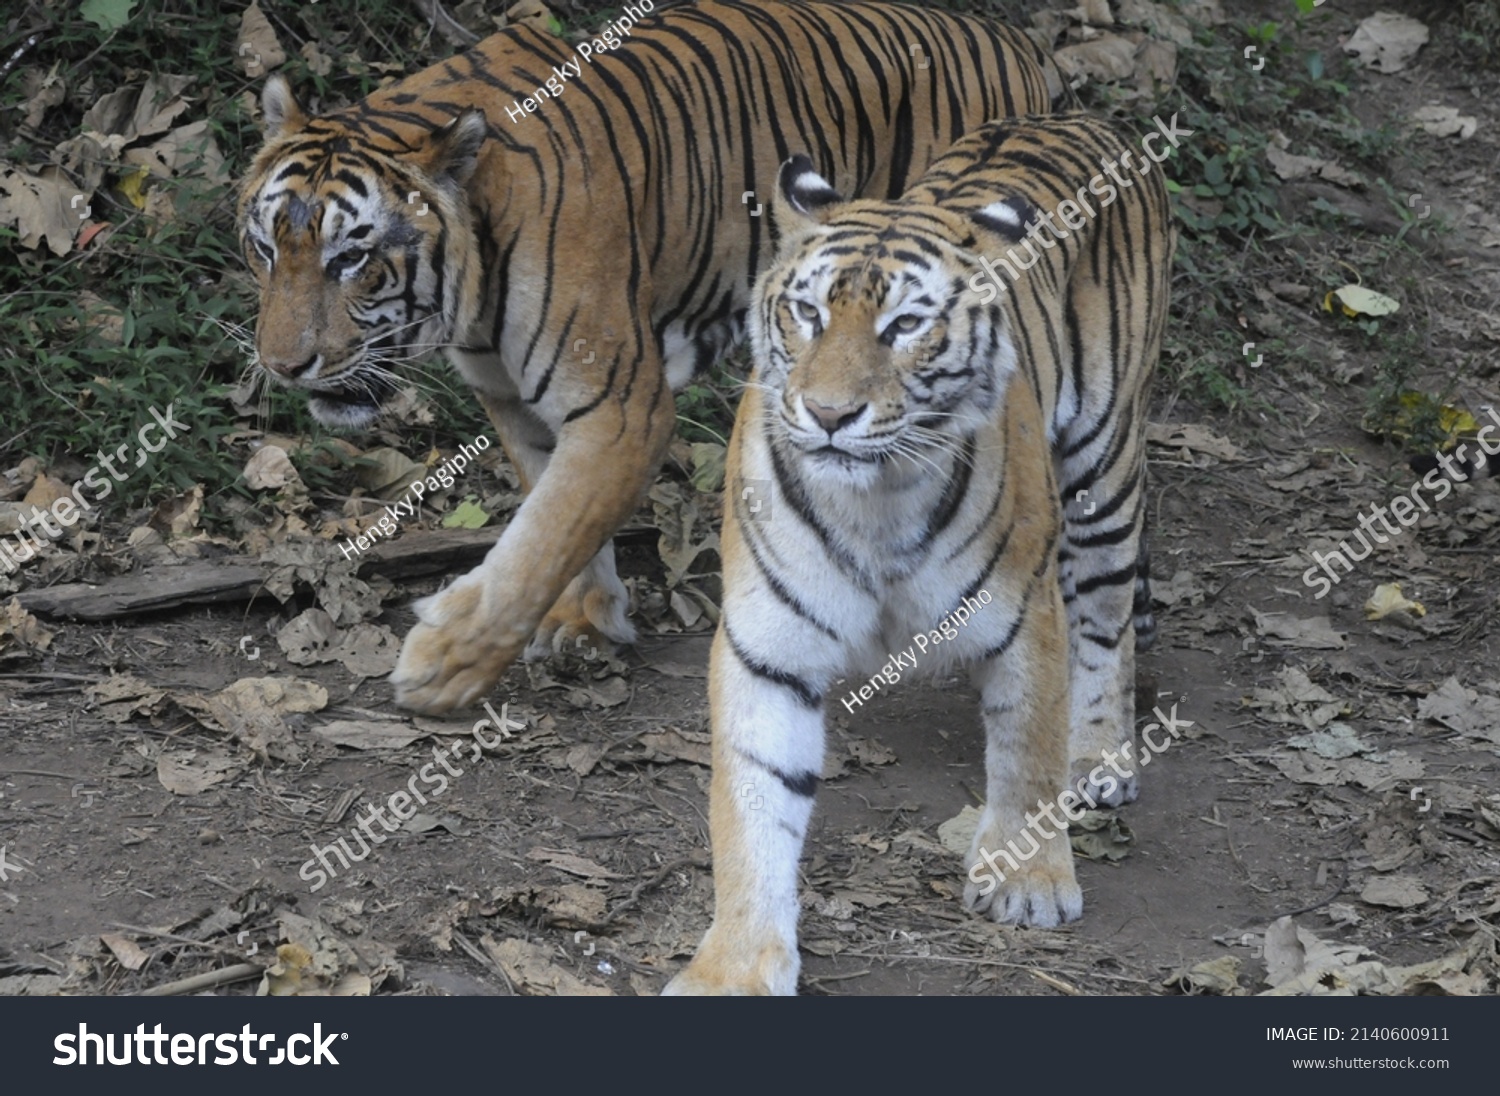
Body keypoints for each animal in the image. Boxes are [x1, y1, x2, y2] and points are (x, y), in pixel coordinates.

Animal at [234, 0, 1074, 716]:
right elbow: (556, 514)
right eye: (266, 249)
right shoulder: (517, 401)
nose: (283, 365)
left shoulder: (621, 405)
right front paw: (588, 620)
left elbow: (544, 535)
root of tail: (1015, 44)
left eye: (352, 258)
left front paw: (444, 666)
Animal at [666, 111, 1170, 995]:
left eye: (904, 326)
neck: (875, 501)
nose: (830, 414)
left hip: (1104, 471)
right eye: (807, 313)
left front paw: (1030, 881)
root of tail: (1087, 116)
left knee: (1107, 625)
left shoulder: (1026, 613)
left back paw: (1100, 757)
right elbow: (752, 806)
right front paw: (735, 966)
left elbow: (1028, 753)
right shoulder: (768, 648)